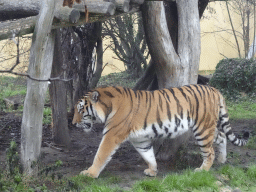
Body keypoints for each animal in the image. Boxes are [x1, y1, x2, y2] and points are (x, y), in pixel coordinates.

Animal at [72, 85, 248, 178]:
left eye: (80, 110)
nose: (73, 123)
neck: (107, 106)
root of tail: (214, 89)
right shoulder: (140, 140)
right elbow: (148, 155)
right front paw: (152, 171)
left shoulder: (111, 135)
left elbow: (100, 155)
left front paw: (89, 173)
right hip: (206, 127)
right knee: (222, 136)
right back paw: (222, 160)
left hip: (202, 128)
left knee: (209, 151)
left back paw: (202, 170)